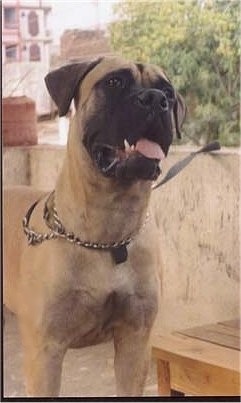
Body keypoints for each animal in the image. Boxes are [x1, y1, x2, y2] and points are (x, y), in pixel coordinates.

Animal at [2, 56, 185, 398]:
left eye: (168, 90)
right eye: (114, 82)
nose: (156, 100)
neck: (107, 232)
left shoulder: (134, 341)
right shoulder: (45, 352)